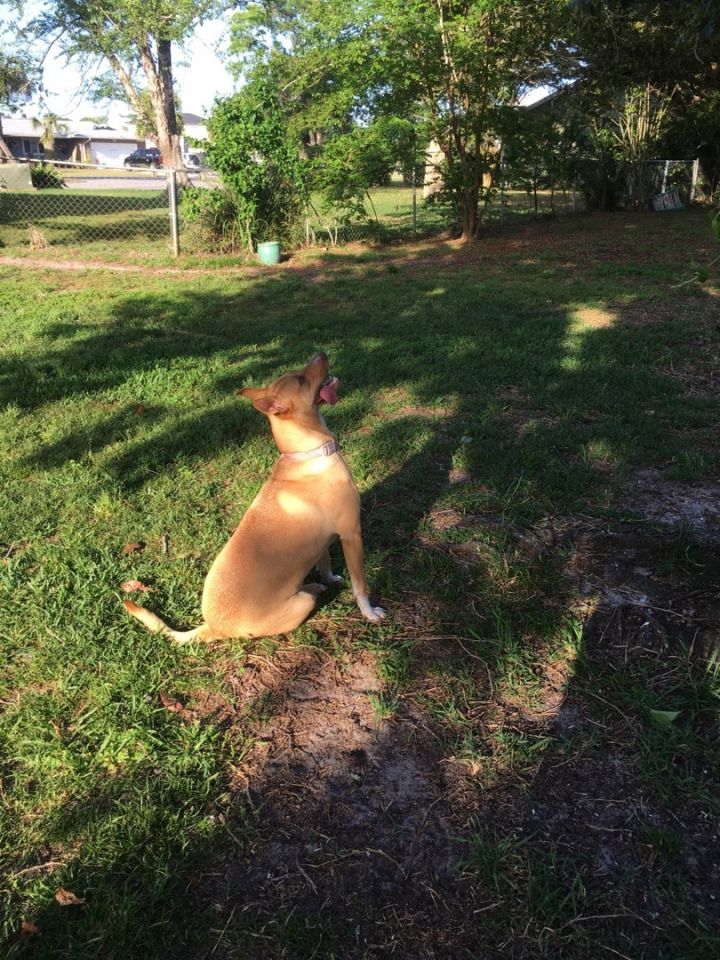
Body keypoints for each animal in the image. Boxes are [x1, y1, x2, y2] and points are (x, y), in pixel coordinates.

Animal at [125, 352, 382, 644]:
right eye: (301, 379)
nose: (321, 354)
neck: (308, 454)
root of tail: (212, 627)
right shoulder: (351, 534)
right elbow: (360, 585)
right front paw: (370, 612)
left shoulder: (326, 540)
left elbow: (325, 562)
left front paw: (329, 578)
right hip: (302, 603)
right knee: (307, 597)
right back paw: (314, 589)